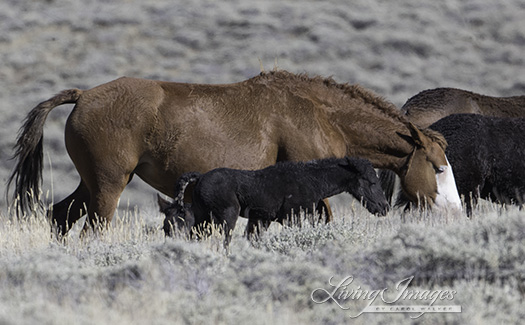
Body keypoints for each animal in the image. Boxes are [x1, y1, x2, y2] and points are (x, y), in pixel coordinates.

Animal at [158, 156, 386, 242]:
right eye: (372, 181)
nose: (384, 207)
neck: (312, 179)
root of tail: (200, 178)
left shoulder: (261, 219)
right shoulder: (293, 218)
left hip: (204, 217)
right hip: (226, 216)